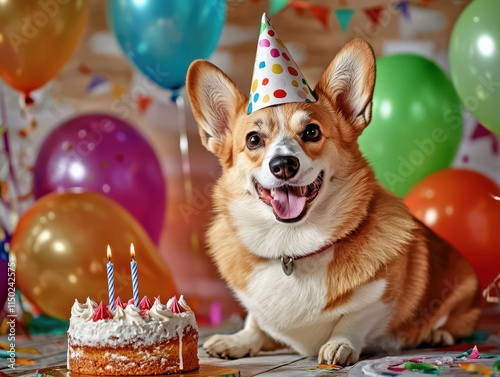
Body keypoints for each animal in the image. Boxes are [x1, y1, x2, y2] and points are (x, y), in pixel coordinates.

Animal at [187, 38, 480, 364]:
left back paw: (438, 334)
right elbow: (255, 320)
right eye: (253, 140)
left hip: (462, 284)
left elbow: (355, 317)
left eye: (312, 132)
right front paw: (238, 340)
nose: (284, 164)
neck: (292, 249)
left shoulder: (382, 295)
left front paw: (340, 344)